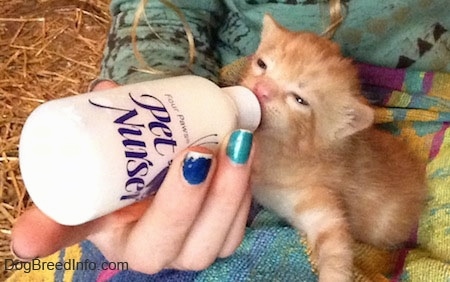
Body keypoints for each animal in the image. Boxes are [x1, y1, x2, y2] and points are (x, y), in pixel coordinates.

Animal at [241, 16, 428, 282]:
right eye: (261, 64)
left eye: (300, 100)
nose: (260, 89)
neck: (277, 149)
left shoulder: (321, 201)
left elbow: (335, 245)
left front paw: (333, 274)